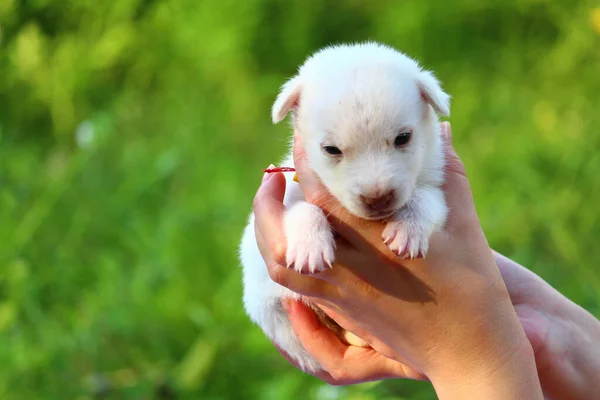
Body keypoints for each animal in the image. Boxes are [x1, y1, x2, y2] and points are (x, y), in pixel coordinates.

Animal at [239, 42, 450, 374]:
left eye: (403, 138)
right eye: (331, 150)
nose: (377, 198)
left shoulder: (435, 187)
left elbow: (423, 200)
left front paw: (408, 230)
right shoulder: (292, 194)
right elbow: (304, 210)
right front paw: (310, 247)